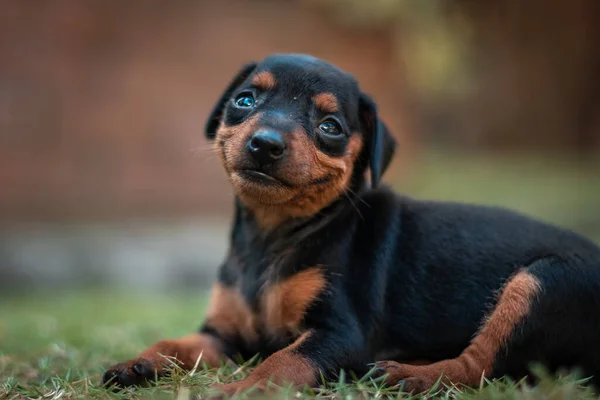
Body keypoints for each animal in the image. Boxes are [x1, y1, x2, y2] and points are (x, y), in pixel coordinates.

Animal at [103, 54, 600, 396]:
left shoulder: (341, 336)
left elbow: (283, 361)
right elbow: (176, 342)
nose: (265, 144)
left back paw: (408, 376)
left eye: (330, 127)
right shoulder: (225, 336)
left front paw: (242, 389)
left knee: (479, 366)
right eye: (244, 101)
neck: (272, 234)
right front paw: (138, 362)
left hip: (541, 282)